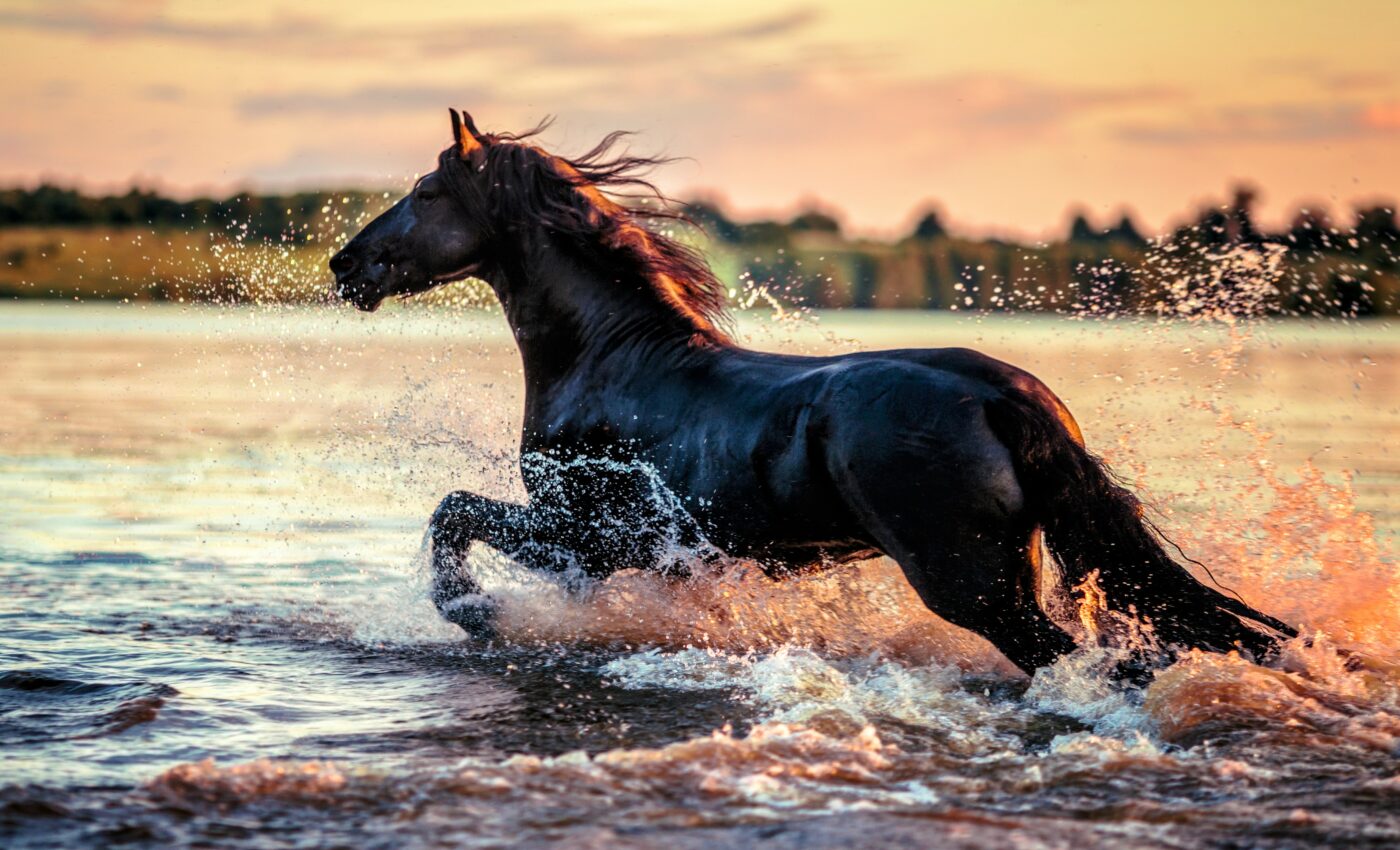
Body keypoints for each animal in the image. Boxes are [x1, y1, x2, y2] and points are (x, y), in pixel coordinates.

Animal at [329, 109, 1295, 675]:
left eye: (425, 191)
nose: (344, 265)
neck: (610, 359)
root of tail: (1006, 397)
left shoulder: (592, 537)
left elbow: (452, 513)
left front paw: (478, 614)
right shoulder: (605, 554)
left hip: (970, 583)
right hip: (1018, 573)